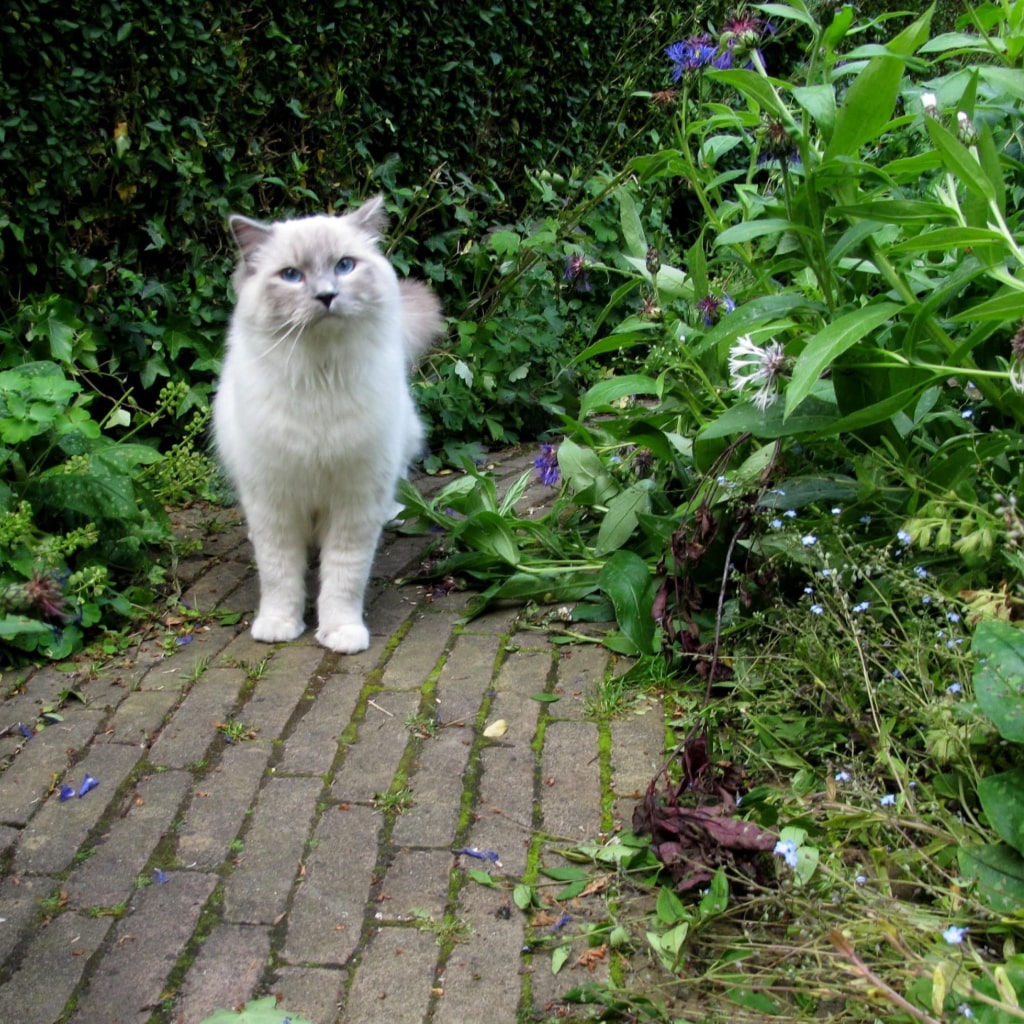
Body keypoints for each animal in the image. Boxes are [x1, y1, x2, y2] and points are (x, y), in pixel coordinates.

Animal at [214, 195, 442, 651]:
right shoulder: (274, 503)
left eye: (344, 266)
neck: (319, 378)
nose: (326, 296)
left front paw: (341, 634)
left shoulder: (355, 500)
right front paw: (279, 626)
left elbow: (343, 579)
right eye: (291, 276)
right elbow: (280, 576)